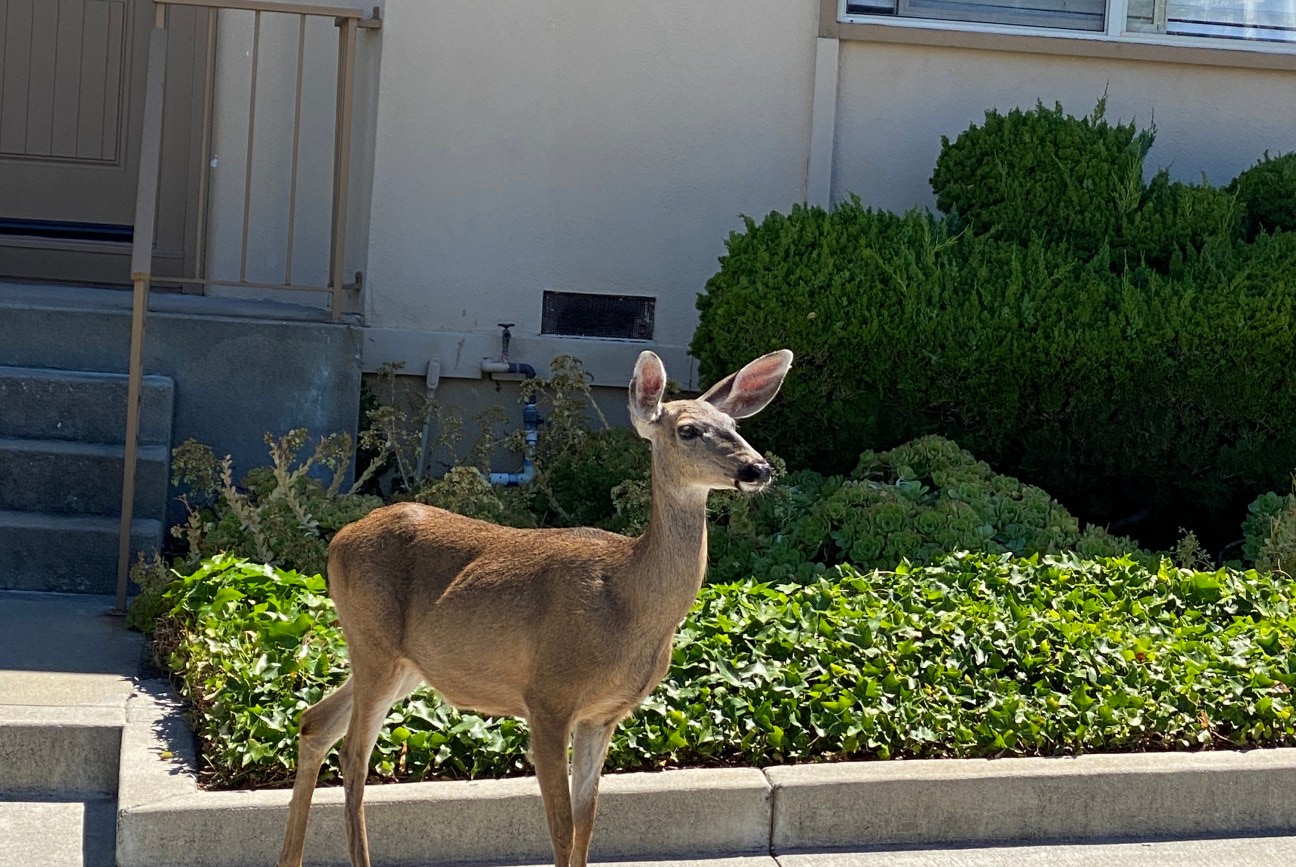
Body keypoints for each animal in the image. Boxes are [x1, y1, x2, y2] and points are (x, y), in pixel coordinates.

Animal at [276, 348, 793, 867]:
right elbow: (562, 827)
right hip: (374, 644)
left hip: (401, 662)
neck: (626, 601)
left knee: (314, 723)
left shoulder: (602, 715)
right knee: (353, 758)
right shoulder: (546, 696)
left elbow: (586, 822)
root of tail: (337, 541)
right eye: (687, 429)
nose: (758, 469)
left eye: (733, 423)